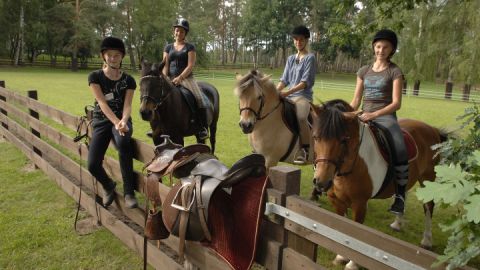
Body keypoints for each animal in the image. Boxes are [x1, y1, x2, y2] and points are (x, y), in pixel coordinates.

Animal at [310, 99, 448, 270]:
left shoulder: (360, 204)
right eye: (316, 137)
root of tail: (432, 129)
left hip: (428, 179)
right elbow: (343, 227)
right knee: (403, 192)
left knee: (428, 206)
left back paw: (427, 241)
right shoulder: (337, 201)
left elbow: (356, 232)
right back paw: (397, 223)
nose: (321, 181)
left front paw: (352, 263)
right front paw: (341, 256)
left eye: (344, 139)